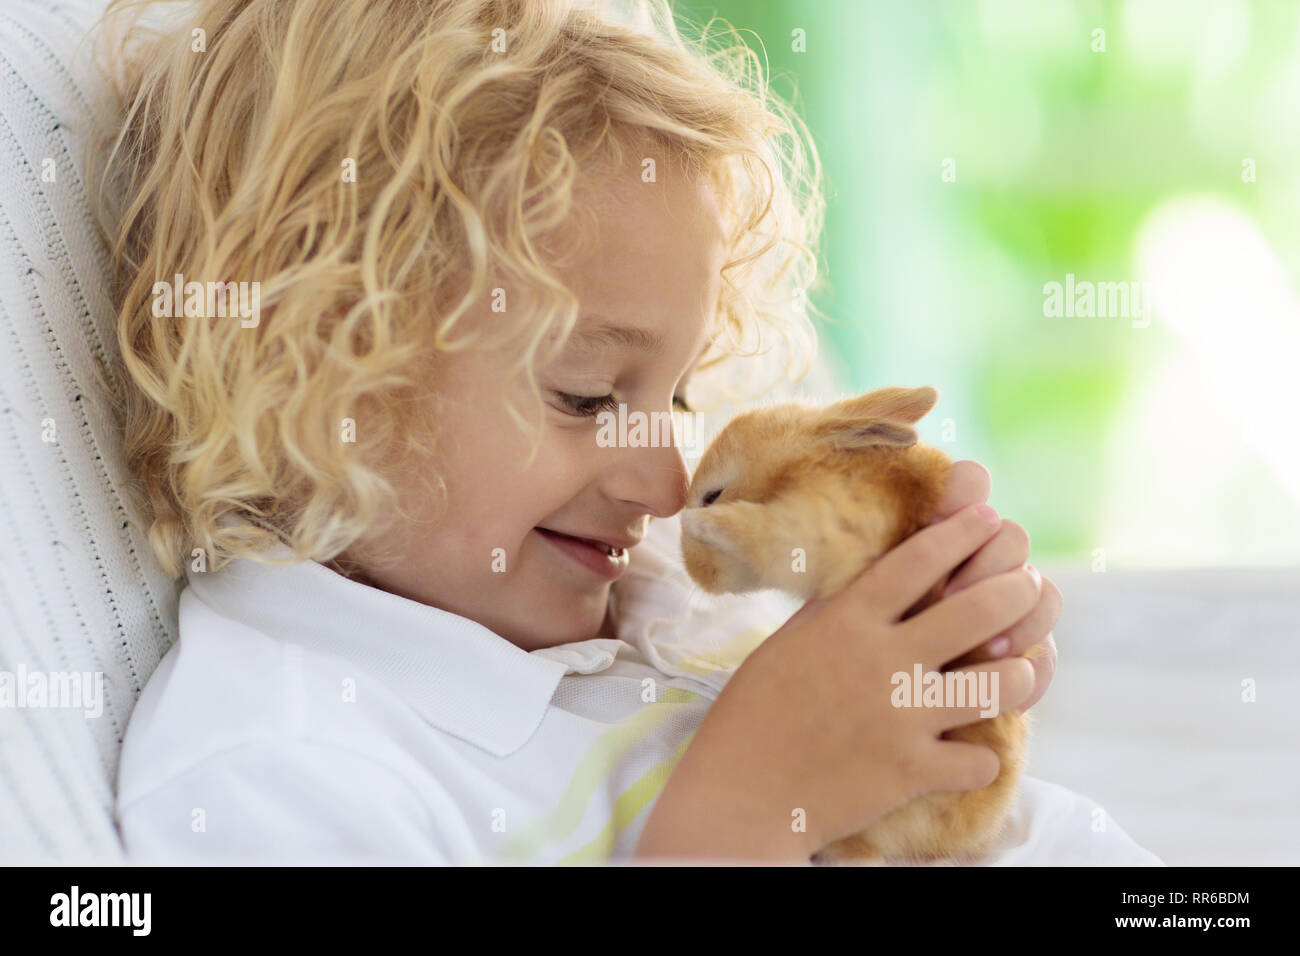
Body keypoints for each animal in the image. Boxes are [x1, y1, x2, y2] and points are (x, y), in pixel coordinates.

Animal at [681, 382, 1034, 868]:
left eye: (713, 493)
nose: (692, 570)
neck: (802, 464)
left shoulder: (821, 521)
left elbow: (756, 528)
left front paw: (700, 522)